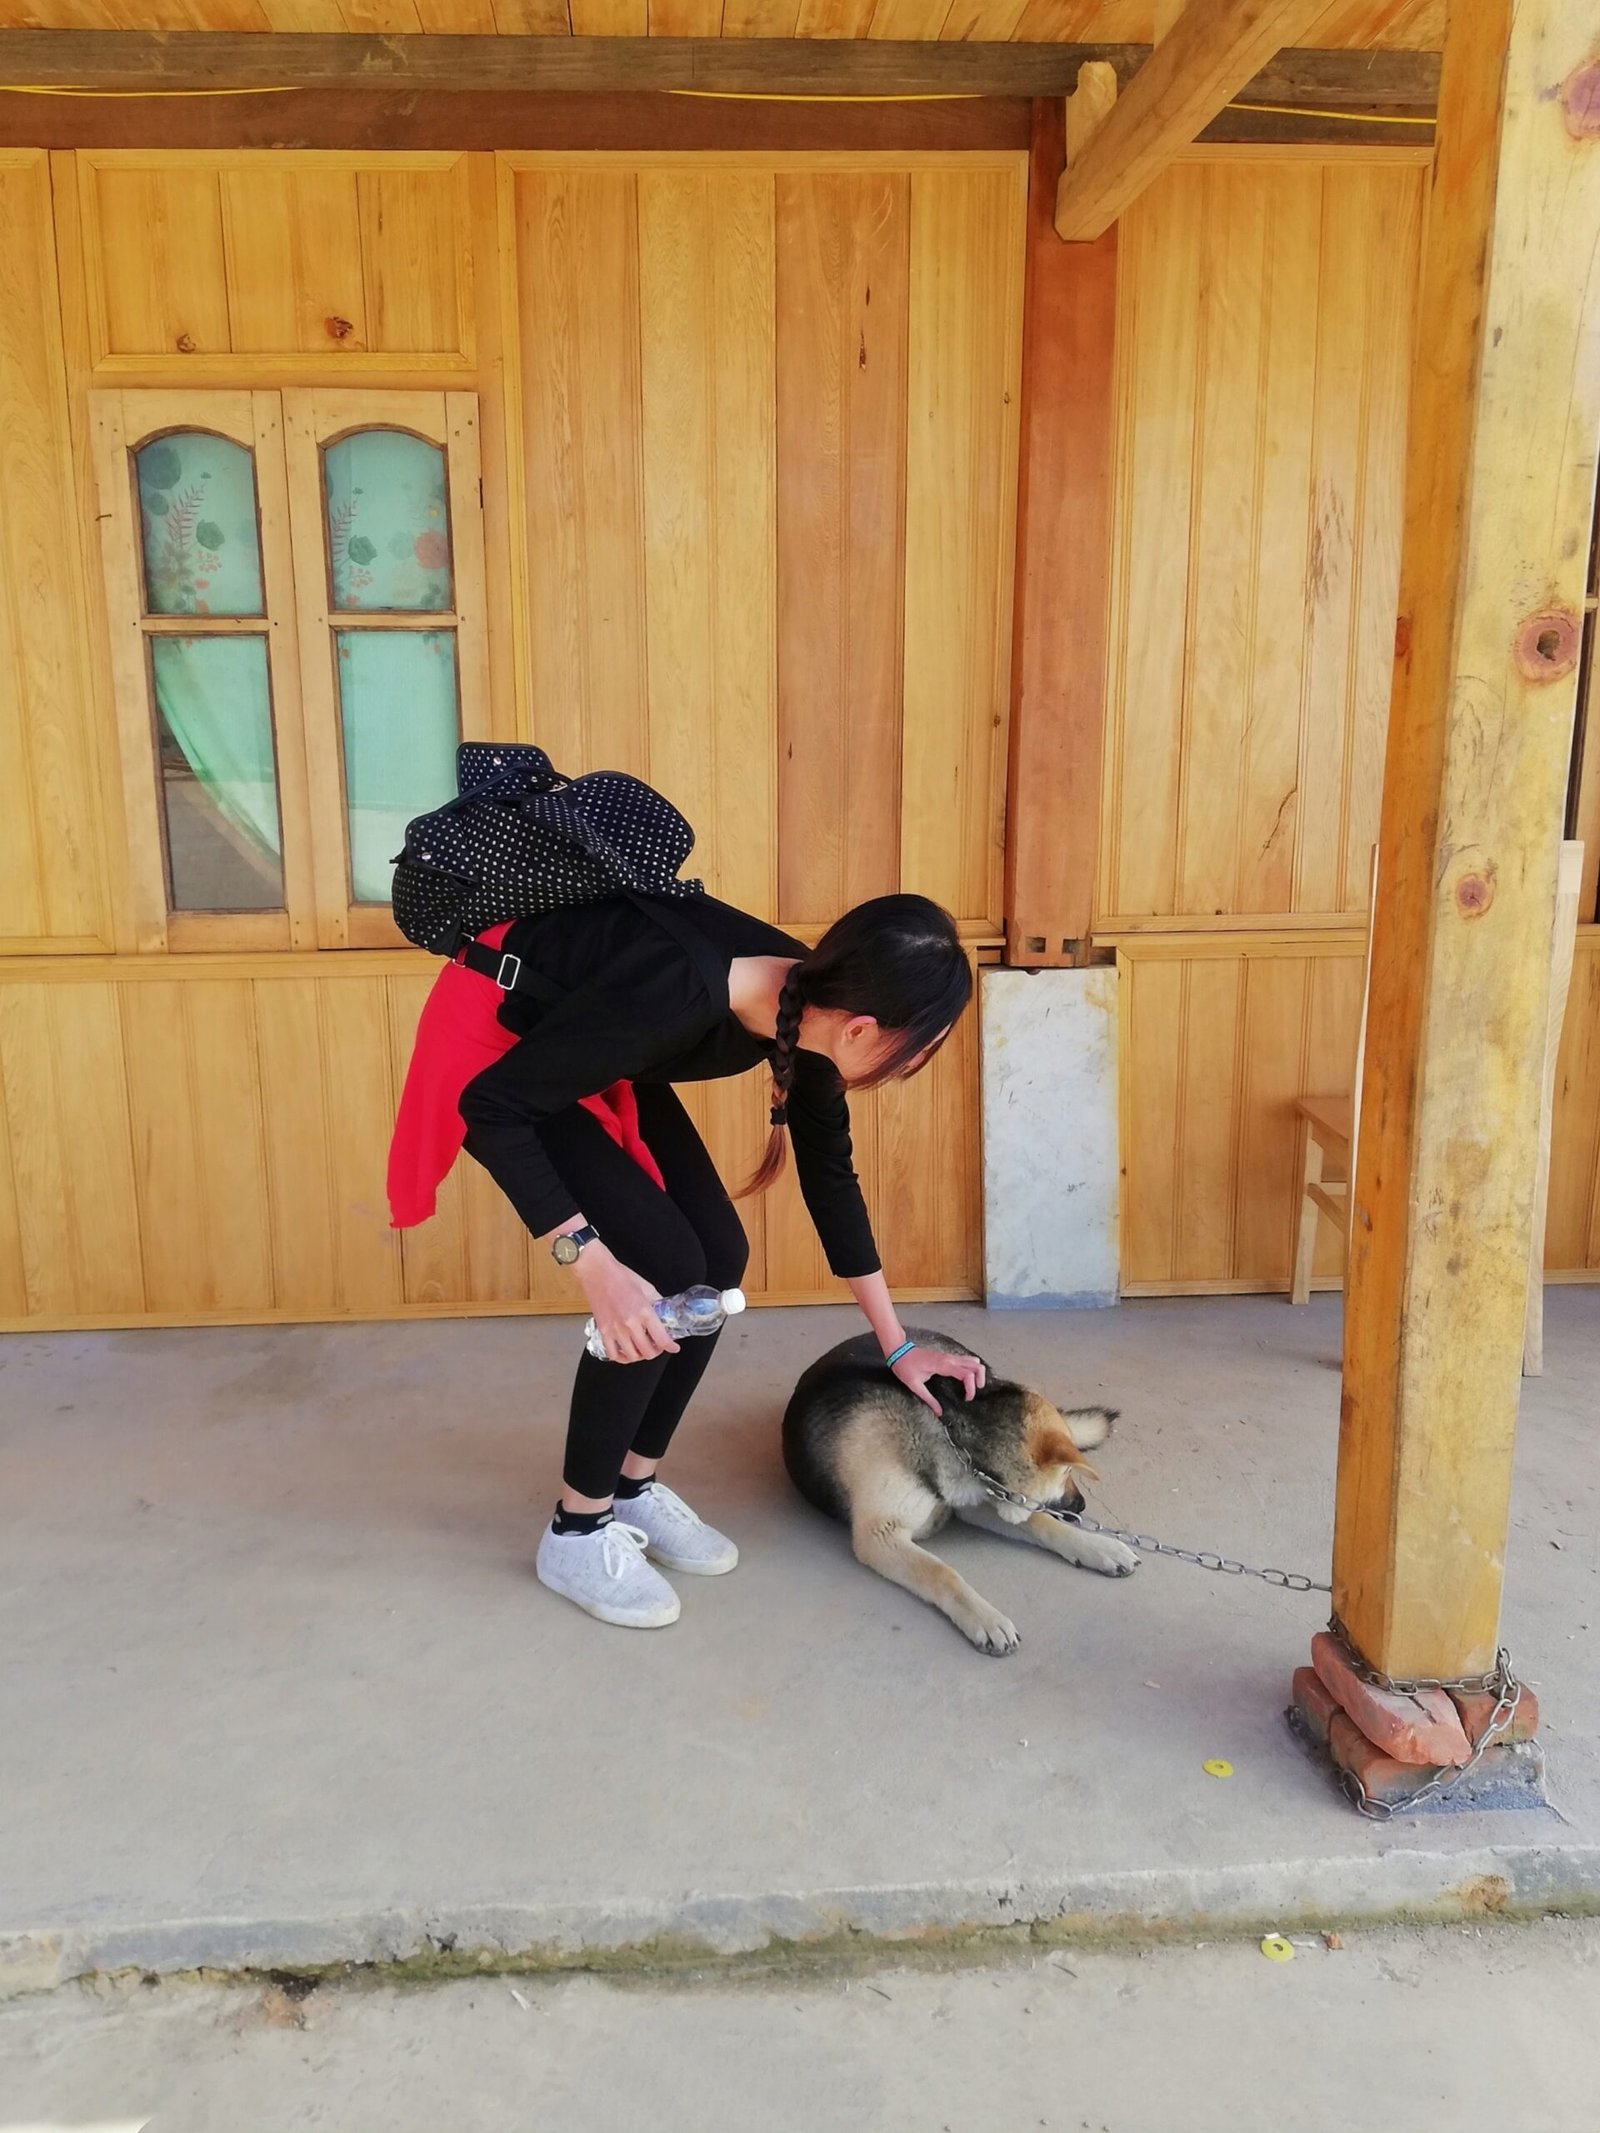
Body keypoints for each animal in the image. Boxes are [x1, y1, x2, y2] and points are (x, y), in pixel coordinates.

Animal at [781, 1328, 1139, 1655]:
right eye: (1066, 1472)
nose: (1081, 1506)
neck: (950, 1434)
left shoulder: (975, 1499)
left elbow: (1041, 1522)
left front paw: (1098, 1546)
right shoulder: (880, 1536)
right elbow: (942, 1572)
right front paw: (986, 1619)